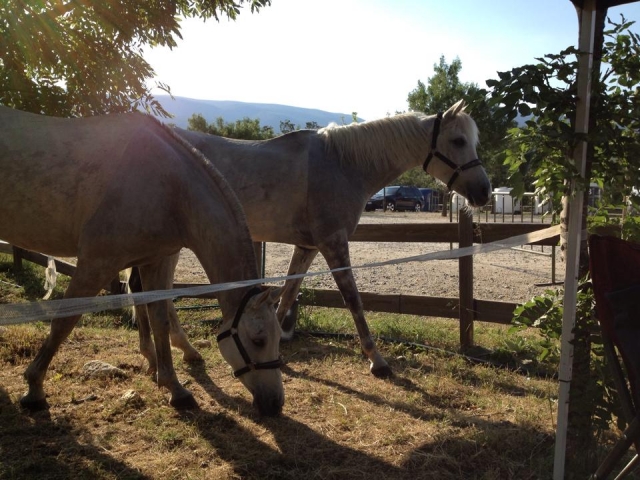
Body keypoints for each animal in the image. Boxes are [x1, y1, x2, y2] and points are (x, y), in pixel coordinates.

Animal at [0, 106, 285, 416]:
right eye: (258, 339)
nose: (275, 403)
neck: (169, 187)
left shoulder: (155, 262)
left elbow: (160, 320)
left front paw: (175, 388)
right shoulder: (96, 263)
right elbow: (64, 322)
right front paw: (34, 388)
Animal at [134, 100, 491, 378]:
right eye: (458, 140)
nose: (484, 191)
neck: (343, 164)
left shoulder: (307, 246)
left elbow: (289, 293)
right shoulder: (333, 243)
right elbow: (353, 300)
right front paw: (377, 361)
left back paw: (176, 352)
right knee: (150, 293)